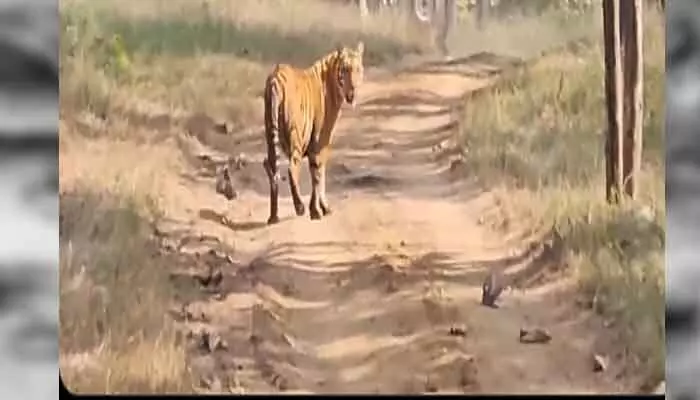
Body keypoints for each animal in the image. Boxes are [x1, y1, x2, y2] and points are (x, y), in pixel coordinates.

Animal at [262, 41, 365, 225]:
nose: (353, 91)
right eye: (346, 70)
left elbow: (317, 174)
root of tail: (275, 79)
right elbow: (318, 175)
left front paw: (319, 209)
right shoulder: (321, 140)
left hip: (270, 135)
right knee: (291, 169)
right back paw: (299, 207)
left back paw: (273, 217)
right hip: (296, 134)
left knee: (273, 170)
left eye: (357, 69)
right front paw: (318, 210)